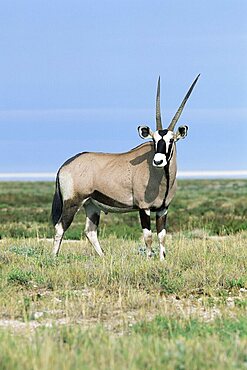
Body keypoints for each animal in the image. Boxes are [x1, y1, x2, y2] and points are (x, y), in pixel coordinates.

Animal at [51, 74, 200, 260]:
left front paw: (162, 260)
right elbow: (148, 235)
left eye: (171, 140)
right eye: (154, 140)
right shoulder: (144, 208)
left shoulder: (163, 209)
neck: (161, 177)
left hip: (91, 205)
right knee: (60, 227)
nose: (158, 161)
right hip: (73, 202)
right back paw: (53, 258)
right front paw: (149, 259)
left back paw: (103, 257)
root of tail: (65, 165)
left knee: (90, 231)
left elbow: (162, 235)